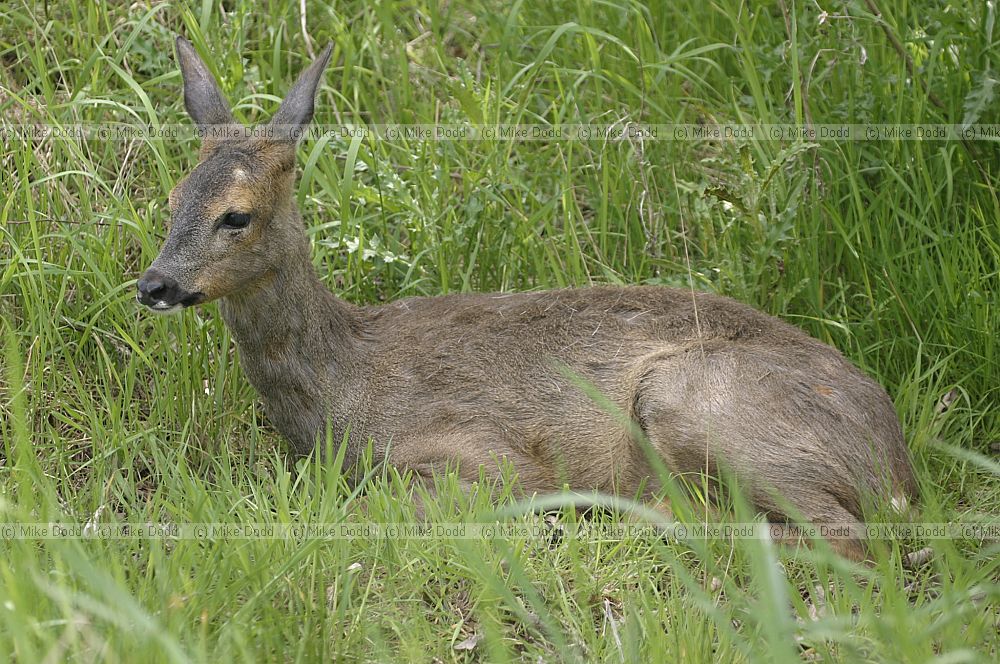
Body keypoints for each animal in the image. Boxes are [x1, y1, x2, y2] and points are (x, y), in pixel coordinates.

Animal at [136, 37, 918, 561]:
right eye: (170, 200)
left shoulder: (483, 457)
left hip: (694, 400)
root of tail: (898, 465)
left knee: (843, 538)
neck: (343, 384)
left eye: (236, 215)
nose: (154, 285)